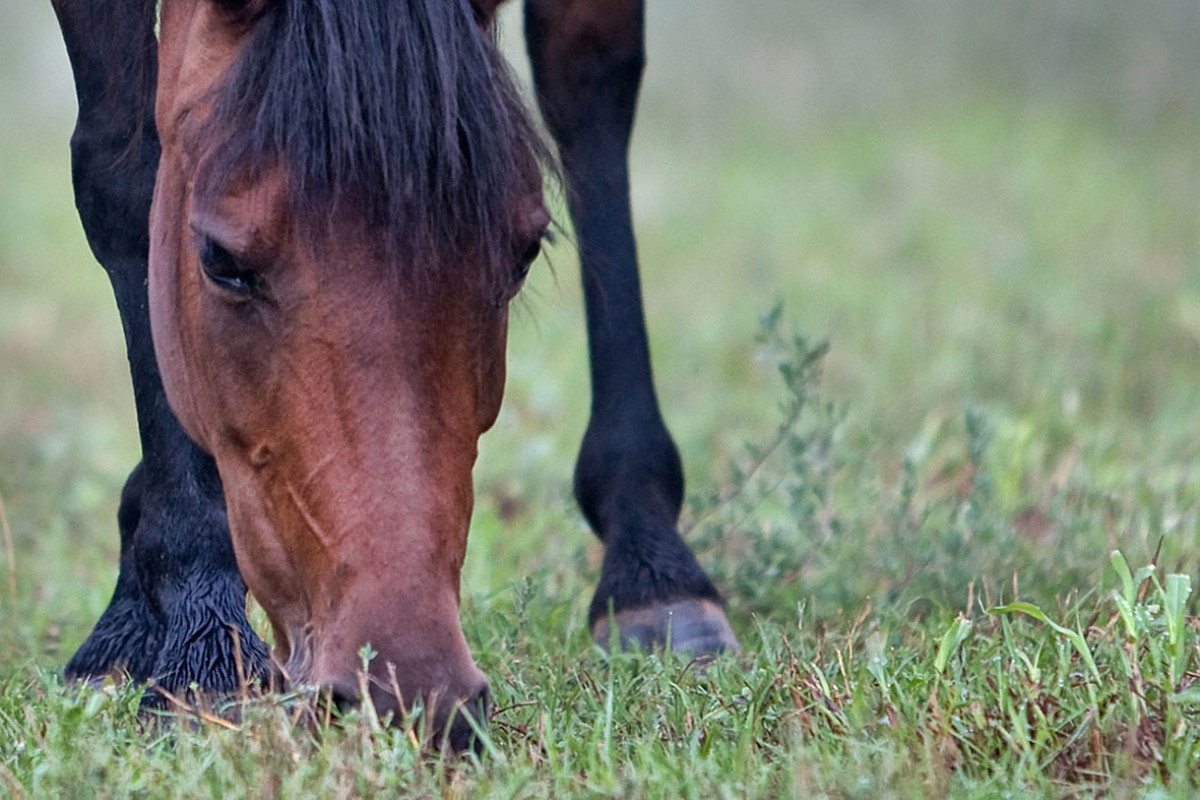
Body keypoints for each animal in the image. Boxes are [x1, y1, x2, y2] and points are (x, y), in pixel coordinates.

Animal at [51, 0, 734, 753]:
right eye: (220, 260)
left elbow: (589, 76)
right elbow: (122, 167)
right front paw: (202, 647)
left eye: (524, 251)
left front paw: (652, 570)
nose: (409, 695)